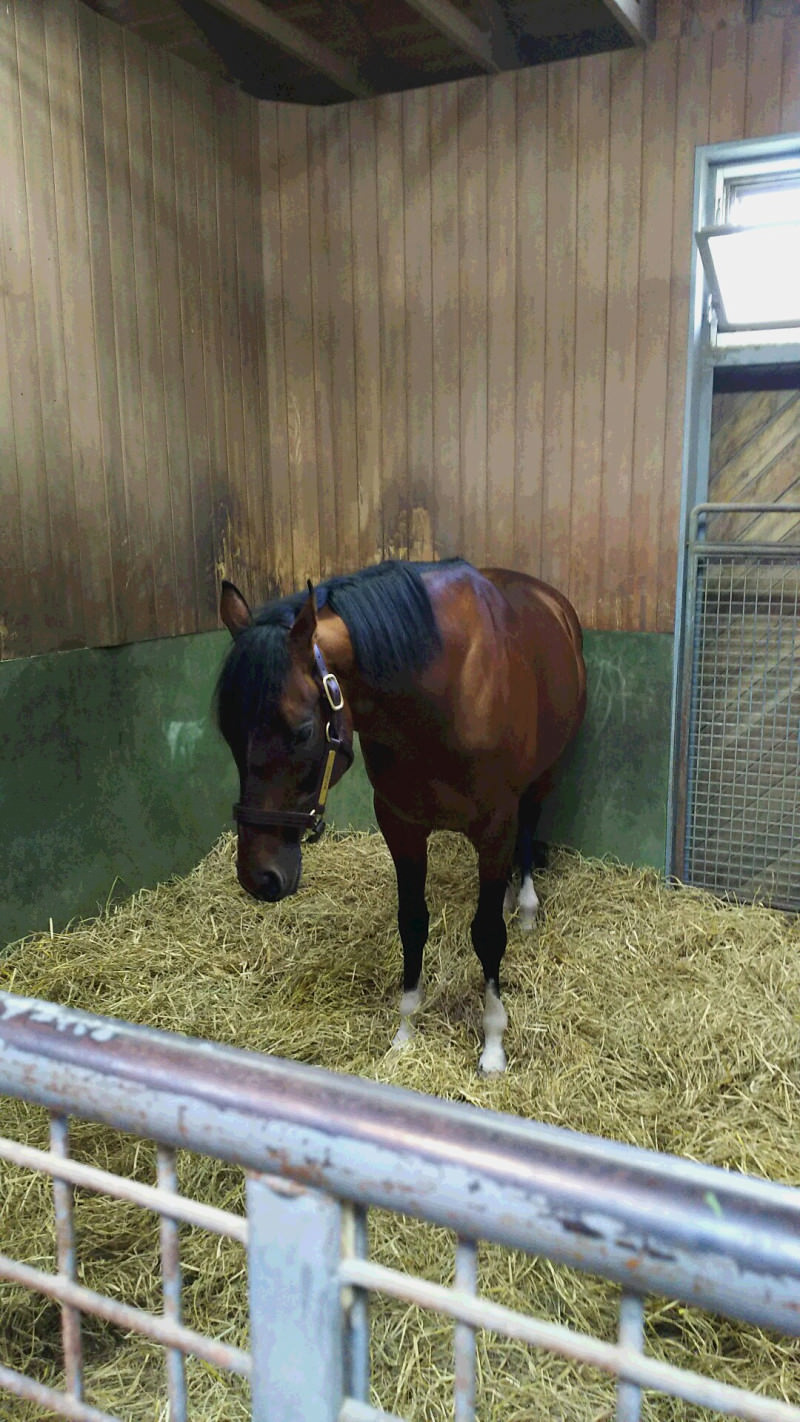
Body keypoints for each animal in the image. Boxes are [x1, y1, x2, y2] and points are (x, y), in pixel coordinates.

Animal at [216, 558, 586, 1074]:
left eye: (303, 730)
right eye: (227, 731)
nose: (259, 876)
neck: (441, 691)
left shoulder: (495, 826)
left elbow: (488, 933)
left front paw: (493, 1044)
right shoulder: (401, 826)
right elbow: (412, 923)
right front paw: (405, 1032)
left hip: (542, 777)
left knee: (530, 831)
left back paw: (527, 905)